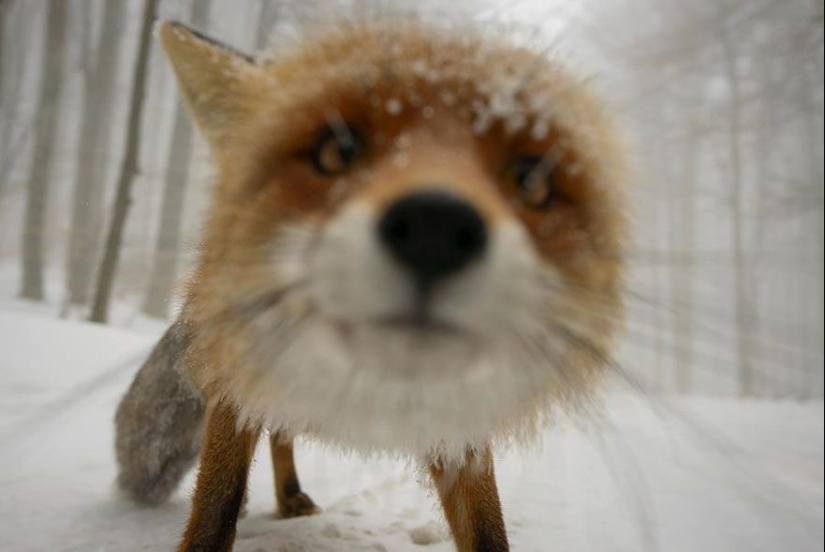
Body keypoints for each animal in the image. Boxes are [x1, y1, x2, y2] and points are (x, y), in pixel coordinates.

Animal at [116, 14, 628, 552]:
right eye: (336, 151)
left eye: (529, 179)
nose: (434, 229)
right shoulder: (235, 382)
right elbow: (217, 508)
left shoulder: (458, 419)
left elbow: (488, 529)